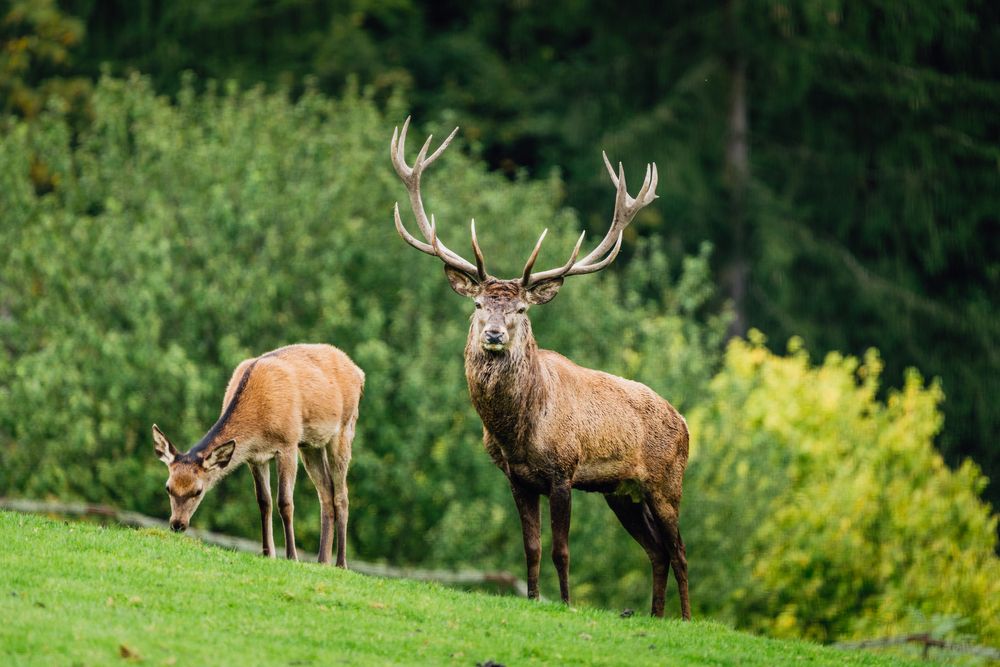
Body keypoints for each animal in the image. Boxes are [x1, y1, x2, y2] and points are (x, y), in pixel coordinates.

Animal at [152, 344, 364, 568]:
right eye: (168, 487)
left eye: (198, 491)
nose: (177, 524)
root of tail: (359, 373)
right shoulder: (254, 457)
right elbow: (264, 502)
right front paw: (267, 553)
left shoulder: (288, 443)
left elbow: (285, 502)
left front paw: (292, 556)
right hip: (311, 445)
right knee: (325, 491)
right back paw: (322, 560)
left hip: (344, 429)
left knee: (342, 494)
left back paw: (341, 563)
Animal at [388, 117, 688, 620]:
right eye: (478, 304)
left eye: (522, 310)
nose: (493, 334)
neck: (520, 430)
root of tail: (685, 422)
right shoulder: (517, 478)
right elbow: (531, 547)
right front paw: (531, 597)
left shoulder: (564, 471)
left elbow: (562, 550)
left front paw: (564, 603)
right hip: (622, 492)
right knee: (657, 551)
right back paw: (656, 615)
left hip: (668, 482)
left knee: (680, 552)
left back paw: (683, 618)